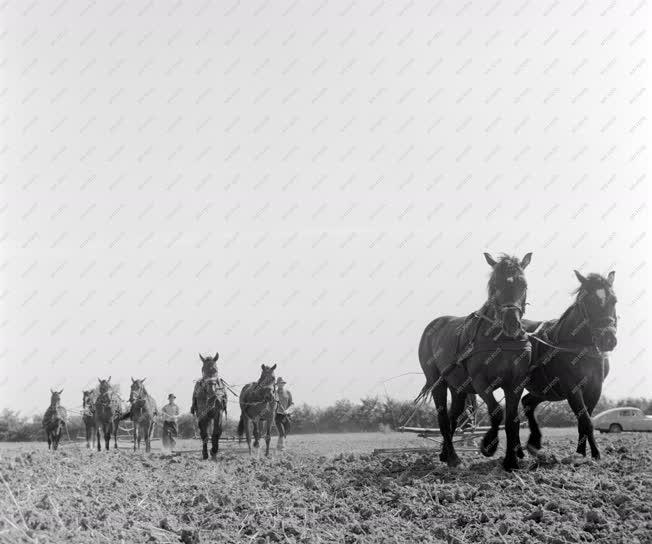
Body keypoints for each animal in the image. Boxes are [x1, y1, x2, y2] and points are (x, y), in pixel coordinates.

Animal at [524, 270, 620, 460]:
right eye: (587, 301)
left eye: (614, 300)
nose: (608, 340)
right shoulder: (572, 388)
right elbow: (586, 421)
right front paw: (595, 455)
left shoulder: (594, 388)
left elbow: (583, 421)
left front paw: (582, 454)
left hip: (542, 390)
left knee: (527, 403)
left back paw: (532, 445)